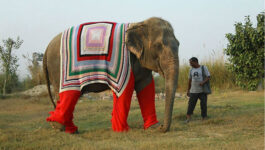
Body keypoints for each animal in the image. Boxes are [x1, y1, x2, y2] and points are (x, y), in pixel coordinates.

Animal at [43, 17, 179, 133]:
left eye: (178, 44)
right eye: (158, 46)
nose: (161, 127)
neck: (139, 23)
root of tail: (46, 48)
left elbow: (146, 85)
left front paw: (152, 127)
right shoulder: (125, 63)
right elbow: (127, 87)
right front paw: (122, 130)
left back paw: (69, 129)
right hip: (59, 68)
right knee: (68, 94)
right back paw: (63, 129)